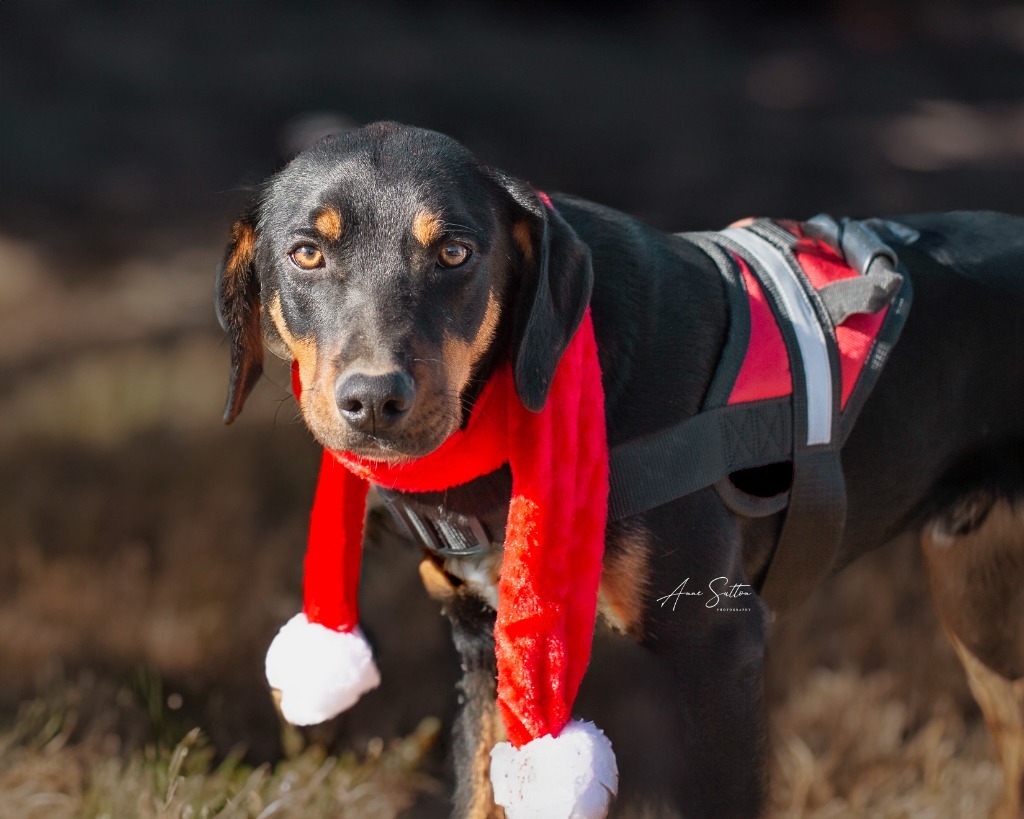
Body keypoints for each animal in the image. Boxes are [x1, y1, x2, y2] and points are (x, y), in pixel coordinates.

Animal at [216, 121, 1024, 818]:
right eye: (306, 253)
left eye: (454, 253)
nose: (375, 400)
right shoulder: (483, 649)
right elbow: (479, 793)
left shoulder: (718, 649)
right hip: (982, 611)